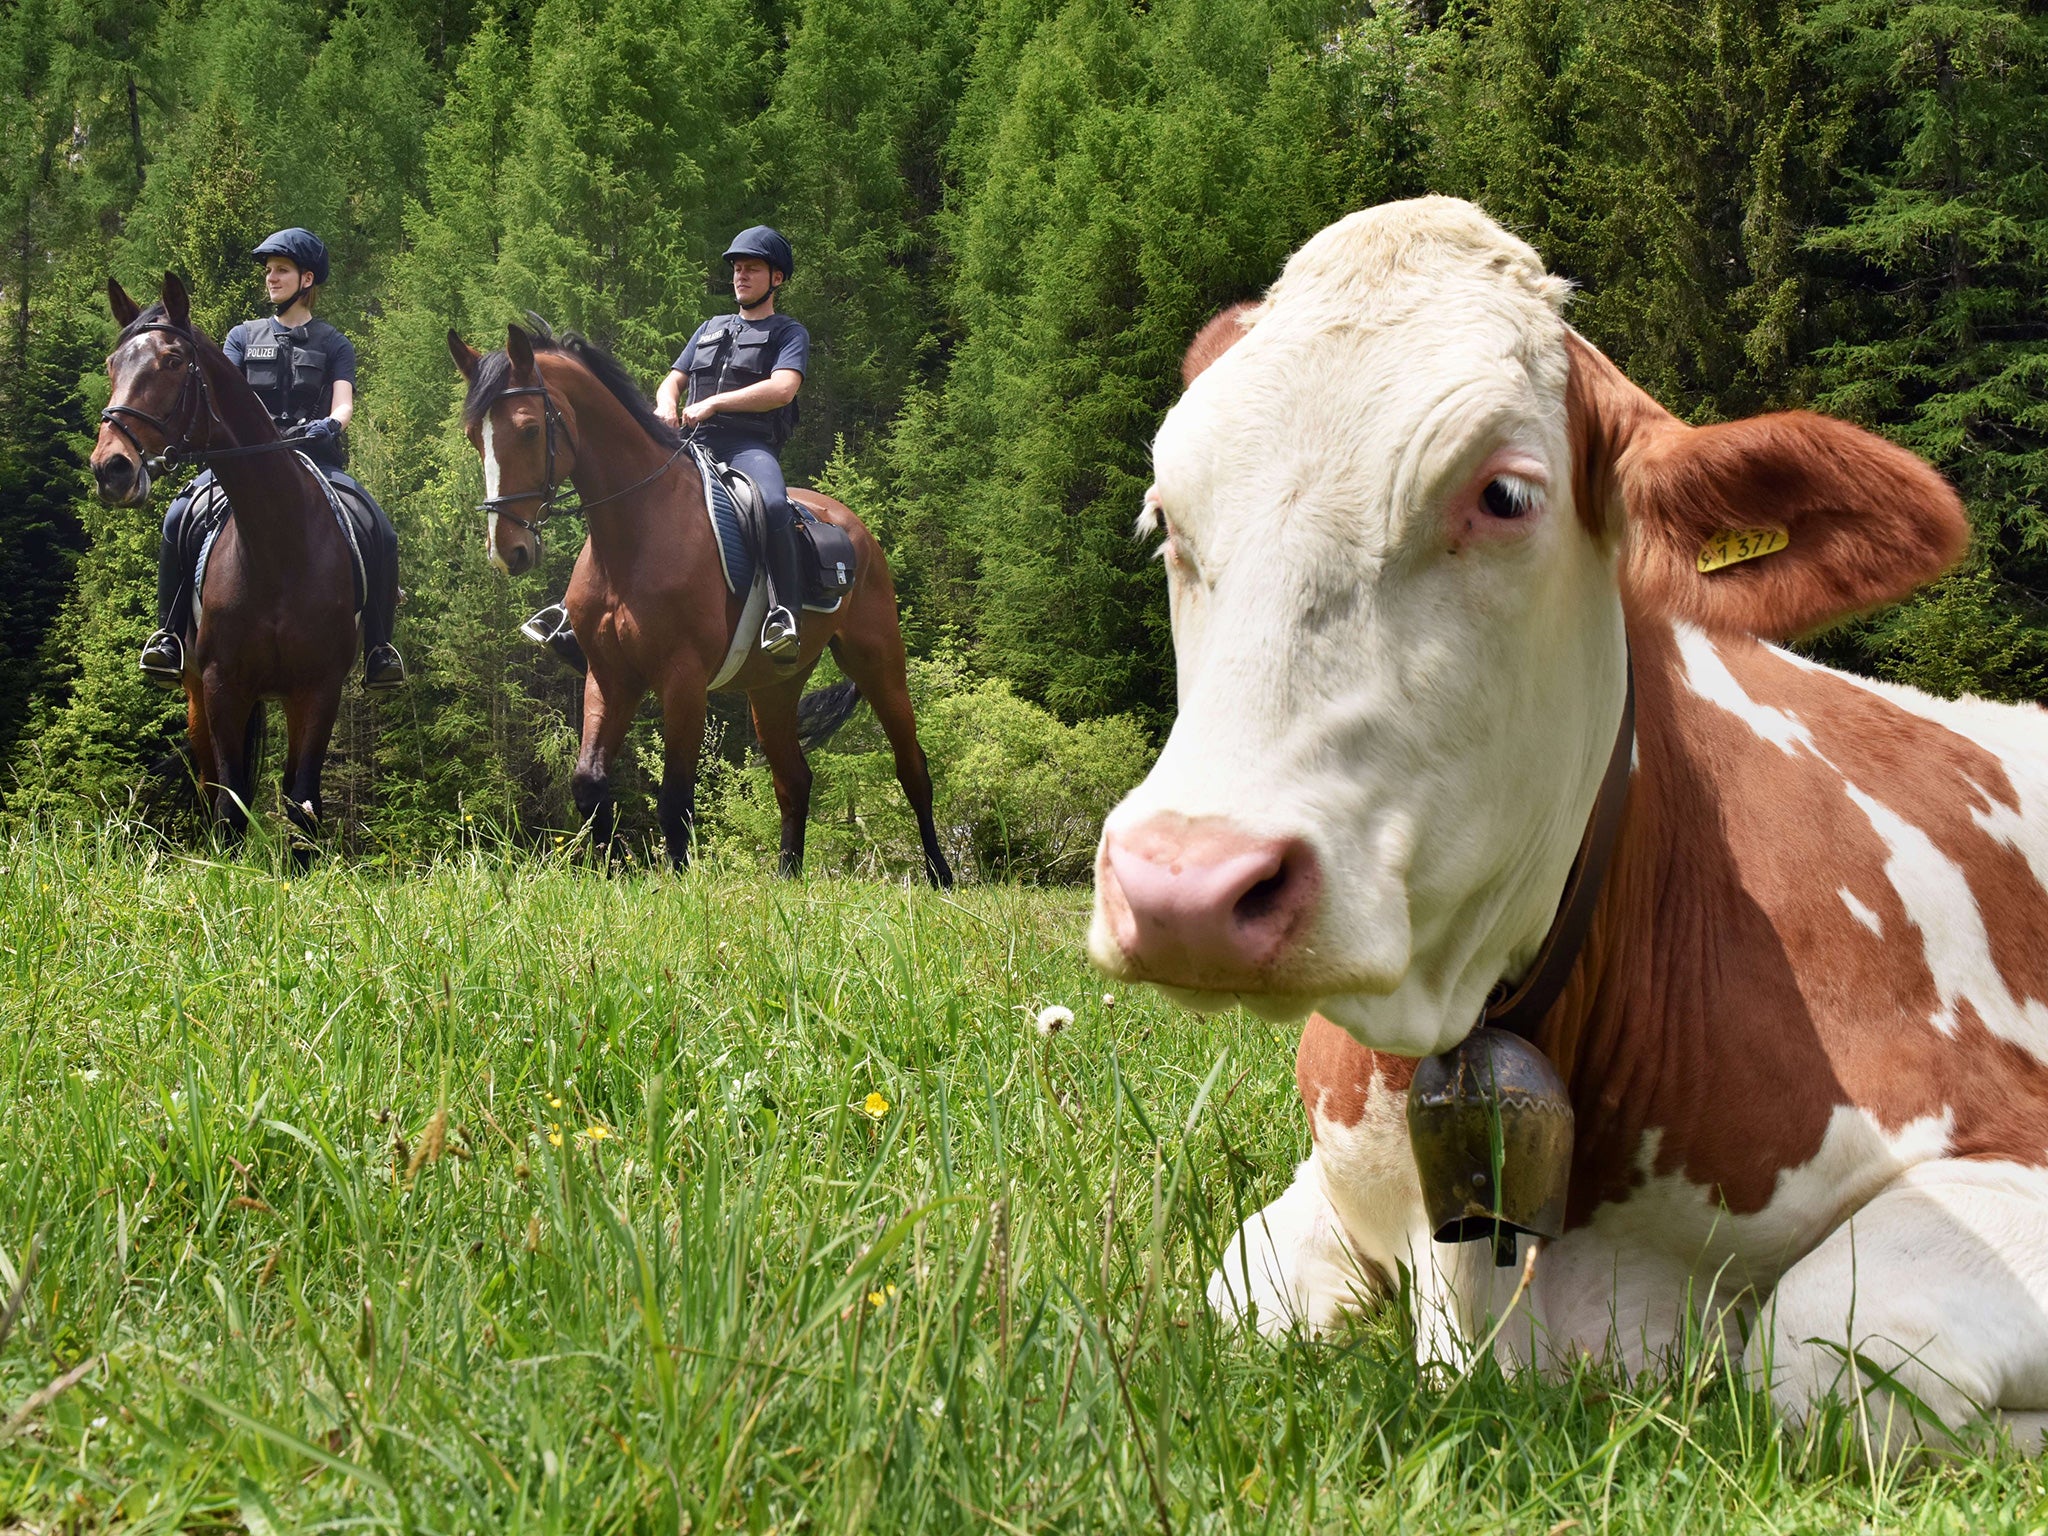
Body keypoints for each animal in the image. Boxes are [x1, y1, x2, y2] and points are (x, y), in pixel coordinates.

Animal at [91, 274, 360, 856]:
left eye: (172, 361)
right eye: (111, 363)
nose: (110, 469)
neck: (276, 543)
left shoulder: (319, 687)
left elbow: (302, 804)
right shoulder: (220, 687)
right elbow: (229, 807)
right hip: (196, 695)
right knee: (212, 781)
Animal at [446, 321, 950, 888]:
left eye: (530, 429)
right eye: (475, 437)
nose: (507, 550)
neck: (636, 532)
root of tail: (854, 527)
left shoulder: (682, 679)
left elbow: (675, 799)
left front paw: (681, 888)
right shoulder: (610, 676)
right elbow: (589, 783)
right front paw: (609, 878)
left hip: (878, 662)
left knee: (913, 769)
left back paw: (941, 876)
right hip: (773, 689)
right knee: (794, 779)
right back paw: (787, 878)